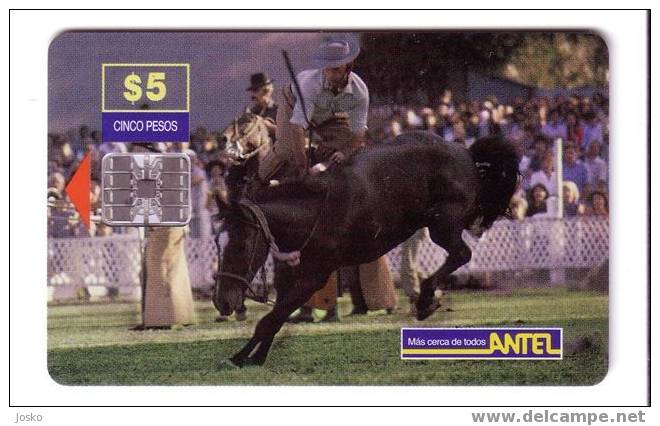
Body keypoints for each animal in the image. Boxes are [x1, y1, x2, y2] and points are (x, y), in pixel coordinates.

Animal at [214, 131, 520, 368]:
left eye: (241, 244)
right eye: (221, 243)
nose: (222, 301)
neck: (313, 211)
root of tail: (466, 153)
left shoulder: (315, 276)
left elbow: (270, 318)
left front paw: (240, 357)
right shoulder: (297, 274)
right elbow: (277, 315)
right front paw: (253, 356)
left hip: (442, 225)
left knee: (461, 254)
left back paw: (425, 300)